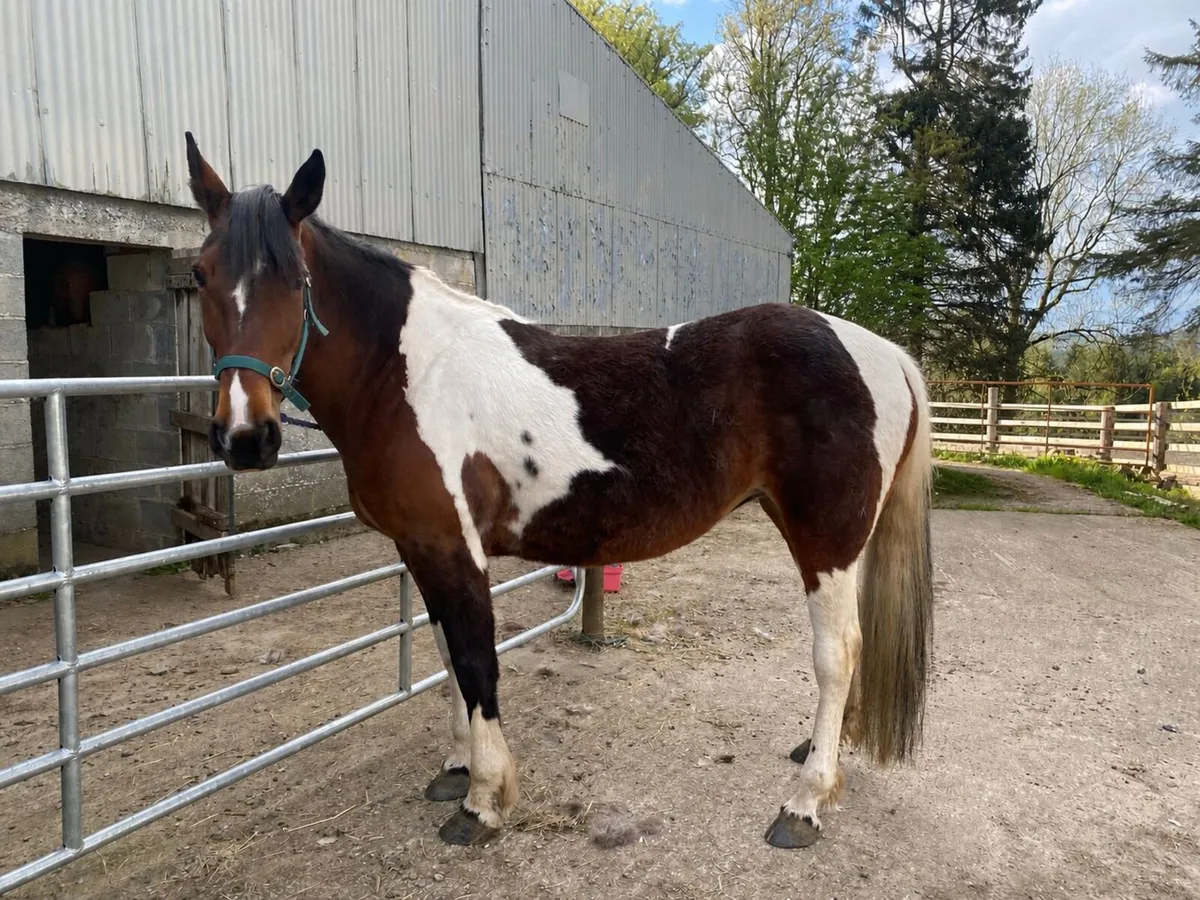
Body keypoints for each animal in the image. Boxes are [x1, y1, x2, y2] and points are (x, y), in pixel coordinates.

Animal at [182, 132, 934, 850]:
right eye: (199, 274)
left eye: (295, 279)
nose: (245, 437)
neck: (408, 375)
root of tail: (883, 352)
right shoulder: (421, 548)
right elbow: (445, 654)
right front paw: (456, 766)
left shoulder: (454, 549)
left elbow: (476, 661)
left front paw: (483, 800)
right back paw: (821, 754)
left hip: (826, 539)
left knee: (837, 653)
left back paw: (805, 803)